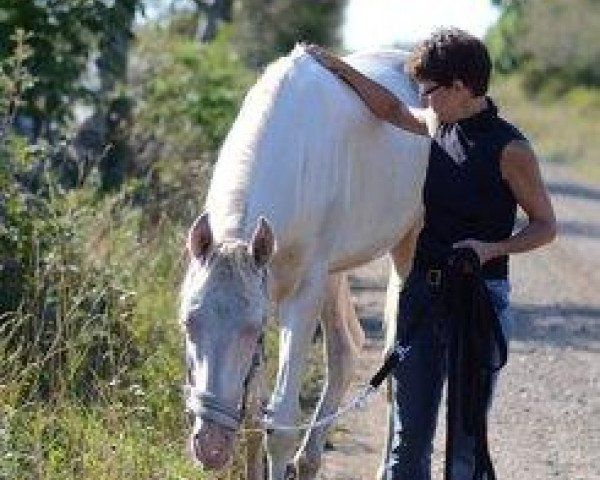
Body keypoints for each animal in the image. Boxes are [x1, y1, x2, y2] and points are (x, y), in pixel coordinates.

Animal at [180, 46, 428, 480]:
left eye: (252, 328)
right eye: (188, 322)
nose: (210, 446)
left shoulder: (302, 293)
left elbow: (279, 423)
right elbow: (253, 414)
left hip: (404, 251)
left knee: (394, 367)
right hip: (335, 273)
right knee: (346, 348)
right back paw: (310, 461)